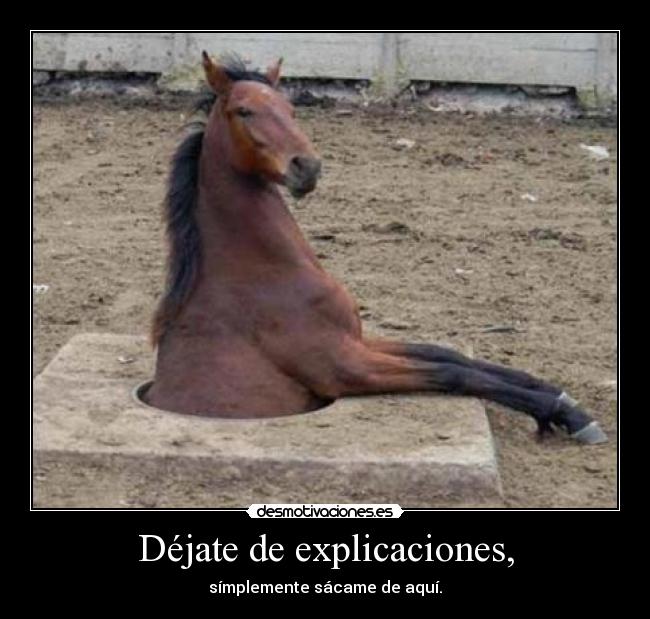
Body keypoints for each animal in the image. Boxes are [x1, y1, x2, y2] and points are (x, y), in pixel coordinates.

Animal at [144, 52, 607, 445]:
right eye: (243, 111)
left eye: (291, 109)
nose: (306, 167)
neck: (260, 275)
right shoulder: (346, 367)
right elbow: (450, 373)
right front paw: (567, 415)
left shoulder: (357, 340)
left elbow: (446, 353)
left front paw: (558, 394)